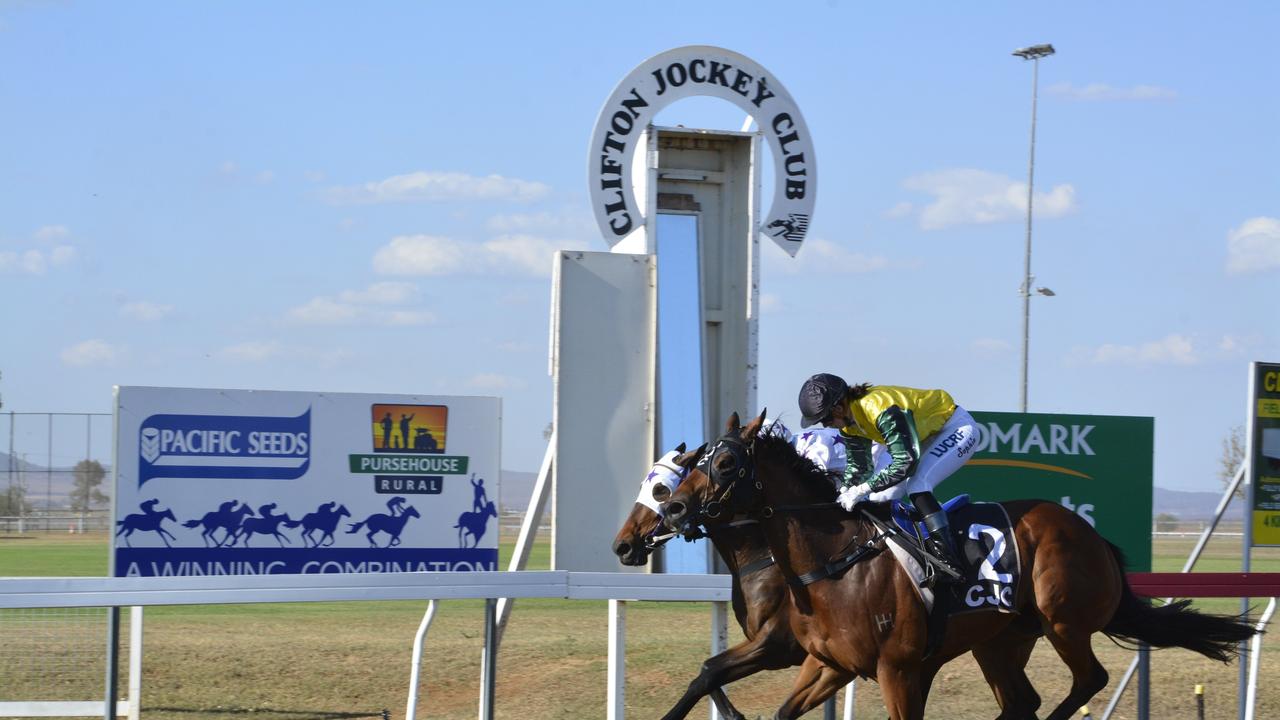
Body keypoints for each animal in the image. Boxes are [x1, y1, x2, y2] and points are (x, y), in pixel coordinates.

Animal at [665, 409, 1254, 717]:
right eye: (694, 458)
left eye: (725, 462)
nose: (672, 508)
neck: (833, 564)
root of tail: (1092, 536)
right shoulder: (828, 663)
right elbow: (761, 699)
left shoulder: (896, 669)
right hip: (1001, 640)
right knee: (1021, 701)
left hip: (1063, 621)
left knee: (1089, 679)